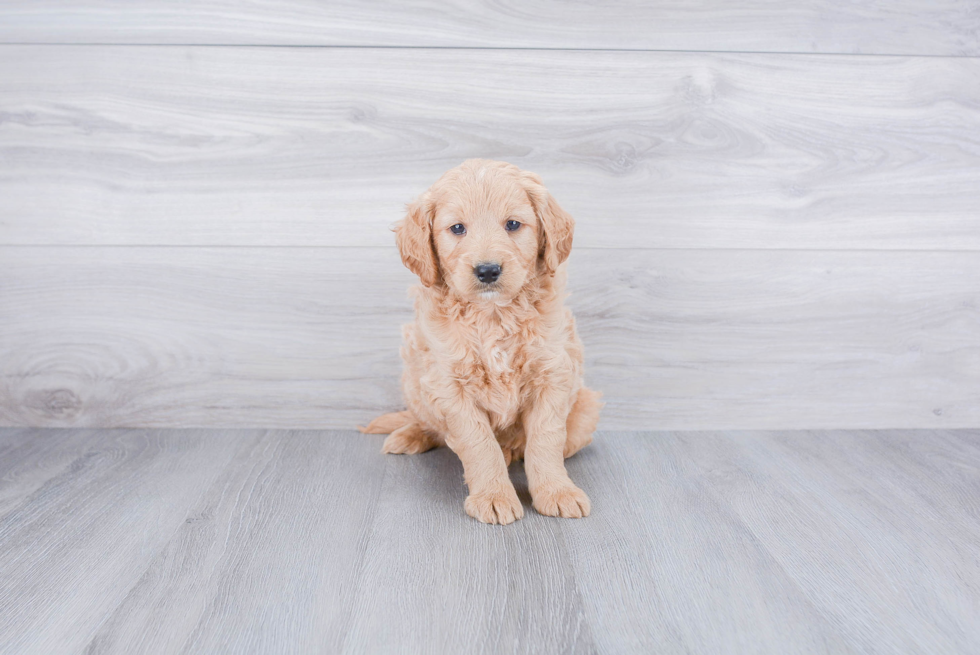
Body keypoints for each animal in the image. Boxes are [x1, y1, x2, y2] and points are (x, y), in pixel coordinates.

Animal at [360, 161, 600, 524]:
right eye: (457, 228)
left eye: (513, 224)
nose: (487, 271)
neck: (493, 314)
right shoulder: (449, 384)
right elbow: (478, 443)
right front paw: (494, 496)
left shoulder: (553, 373)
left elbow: (545, 440)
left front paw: (557, 492)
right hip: (414, 381)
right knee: (426, 421)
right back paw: (408, 435)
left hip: (586, 407)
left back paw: (511, 450)